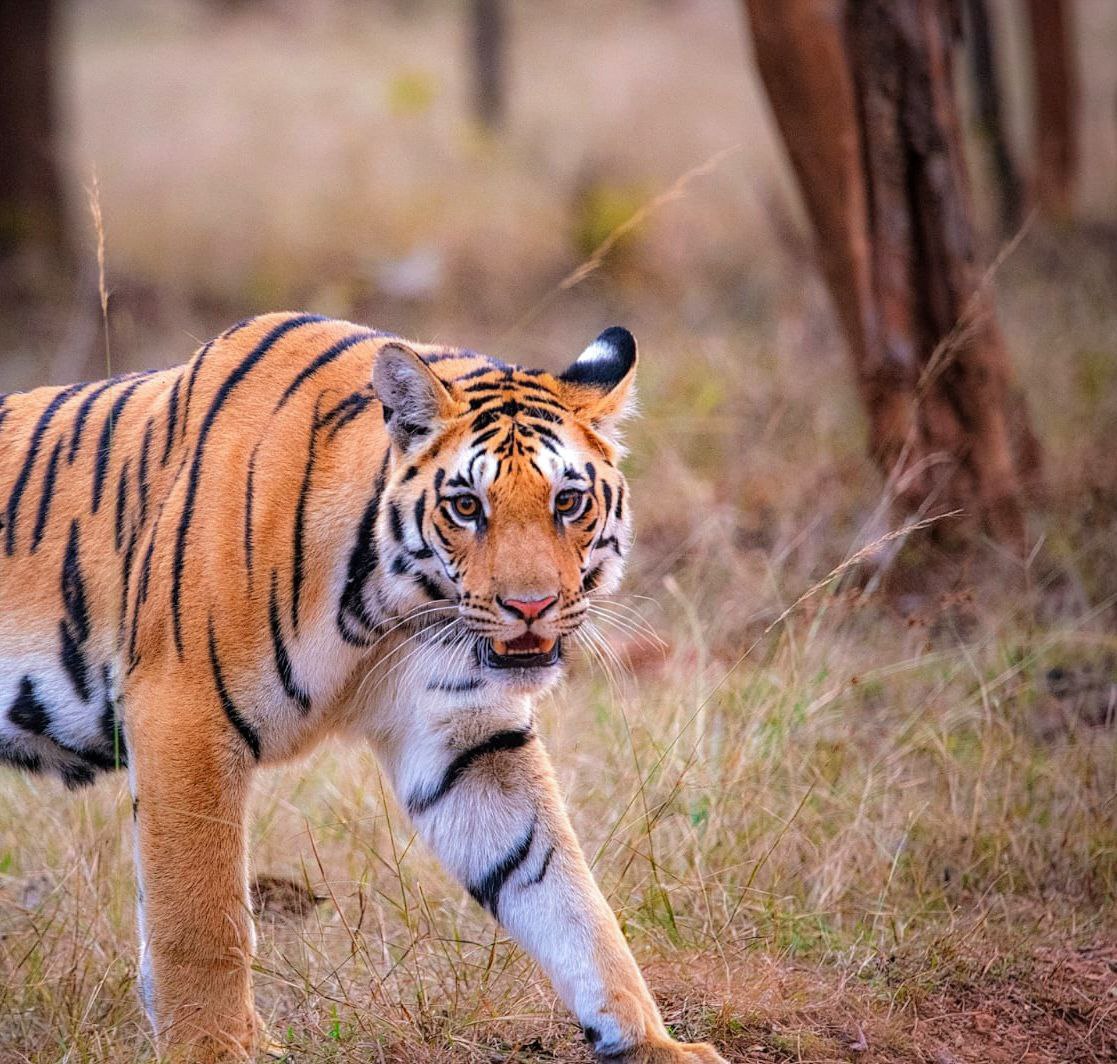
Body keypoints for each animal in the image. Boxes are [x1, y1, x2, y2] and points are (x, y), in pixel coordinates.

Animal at [0, 313, 726, 1063]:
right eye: (466, 506)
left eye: (568, 502)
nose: (532, 606)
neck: (391, 603)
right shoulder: (183, 710)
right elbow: (199, 916)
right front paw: (215, 1048)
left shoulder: (463, 737)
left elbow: (560, 888)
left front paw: (650, 1041)